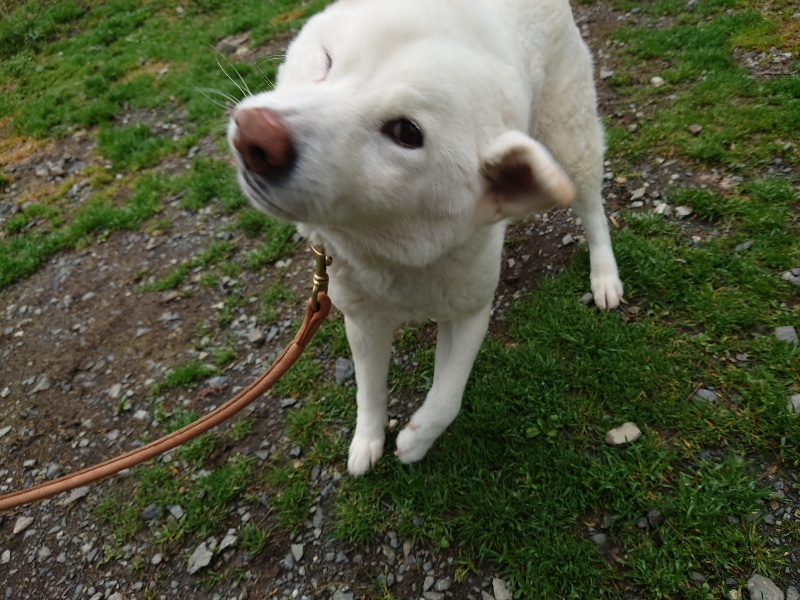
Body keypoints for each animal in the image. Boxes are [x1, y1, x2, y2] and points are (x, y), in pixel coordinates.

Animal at [228, 0, 623, 475]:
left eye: (406, 132)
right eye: (326, 61)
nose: (254, 136)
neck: (396, 253)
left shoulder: (470, 313)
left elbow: (447, 399)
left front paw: (415, 442)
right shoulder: (362, 320)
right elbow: (368, 389)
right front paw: (368, 441)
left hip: (568, 137)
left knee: (593, 209)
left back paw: (604, 276)